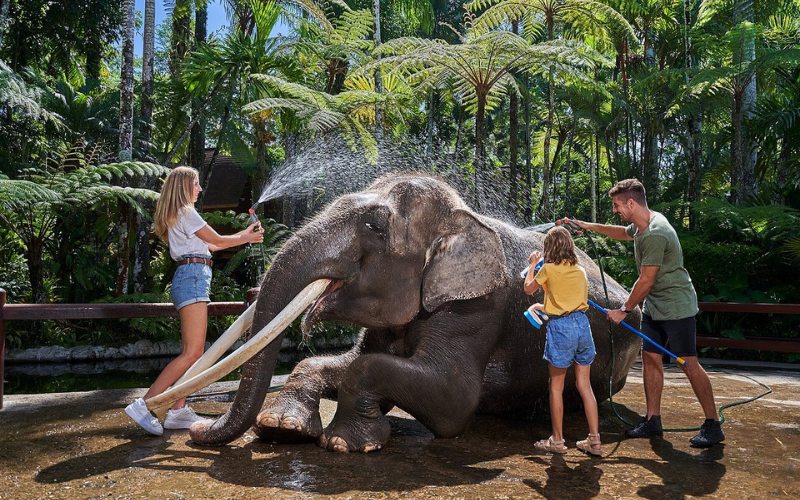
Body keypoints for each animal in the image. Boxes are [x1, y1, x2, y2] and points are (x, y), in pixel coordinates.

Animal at [189, 173, 641, 452]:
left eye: (374, 226)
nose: (195, 427)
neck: (462, 215)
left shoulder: (479, 307)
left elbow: (452, 399)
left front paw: (343, 443)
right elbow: (344, 360)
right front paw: (281, 428)